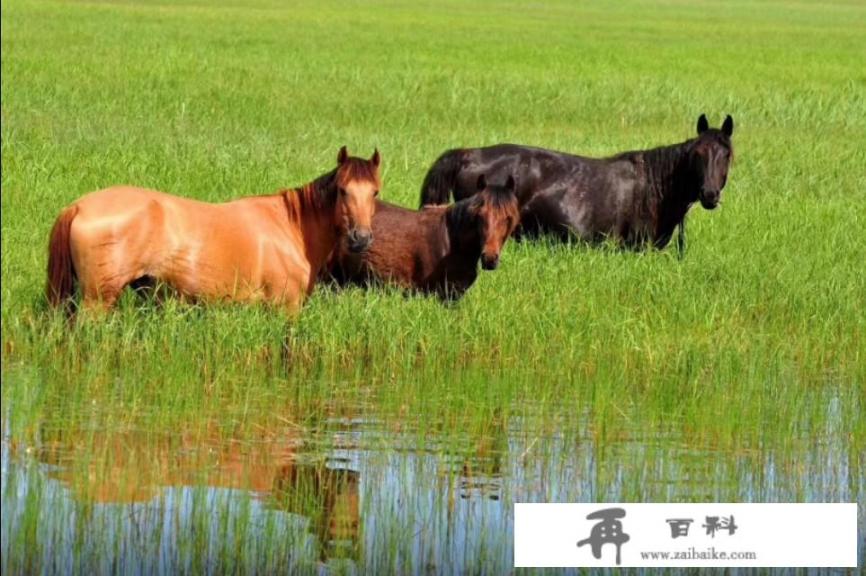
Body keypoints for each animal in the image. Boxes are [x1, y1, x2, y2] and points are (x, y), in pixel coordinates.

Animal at [46, 146, 378, 312]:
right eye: (343, 191)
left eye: (374, 192)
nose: (360, 238)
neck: (292, 228)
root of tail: (79, 206)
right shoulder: (286, 308)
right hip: (97, 301)